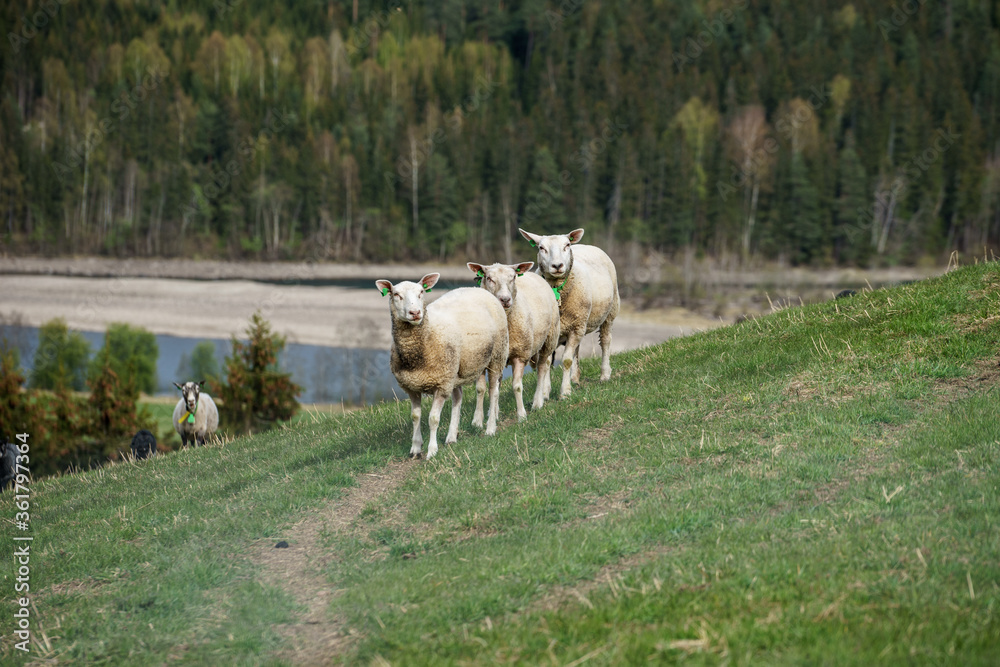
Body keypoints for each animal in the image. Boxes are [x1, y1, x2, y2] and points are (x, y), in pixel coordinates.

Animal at [378, 272, 512, 460]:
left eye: (421, 292)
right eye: (396, 295)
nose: (415, 312)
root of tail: (478, 290)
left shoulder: (441, 385)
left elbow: (433, 419)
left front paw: (432, 450)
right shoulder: (412, 387)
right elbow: (415, 417)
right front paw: (415, 448)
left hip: (496, 356)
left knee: (494, 392)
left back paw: (490, 428)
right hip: (457, 369)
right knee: (458, 397)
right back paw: (451, 436)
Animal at [464, 260, 560, 420]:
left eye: (513, 277)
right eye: (489, 278)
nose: (505, 299)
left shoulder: (520, 354)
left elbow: (517, 386)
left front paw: (521, 415)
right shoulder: (488, 358)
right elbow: (482, 388)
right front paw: (482, 417)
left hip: (549, 338)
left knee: (542, 369)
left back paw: (538, 402)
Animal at [524, 227, 616, 400]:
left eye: (566, 245)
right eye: (541, 248)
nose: (557, 265)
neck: (557, 289)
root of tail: (584, 245)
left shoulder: (575, 327)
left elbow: (566, 360)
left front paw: (565, 392)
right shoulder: (553, 332)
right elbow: (547, 362)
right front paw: (545, 393)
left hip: (610, 311)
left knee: (606, 340)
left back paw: (605, 374)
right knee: (577, 349)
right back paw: (575, 377)